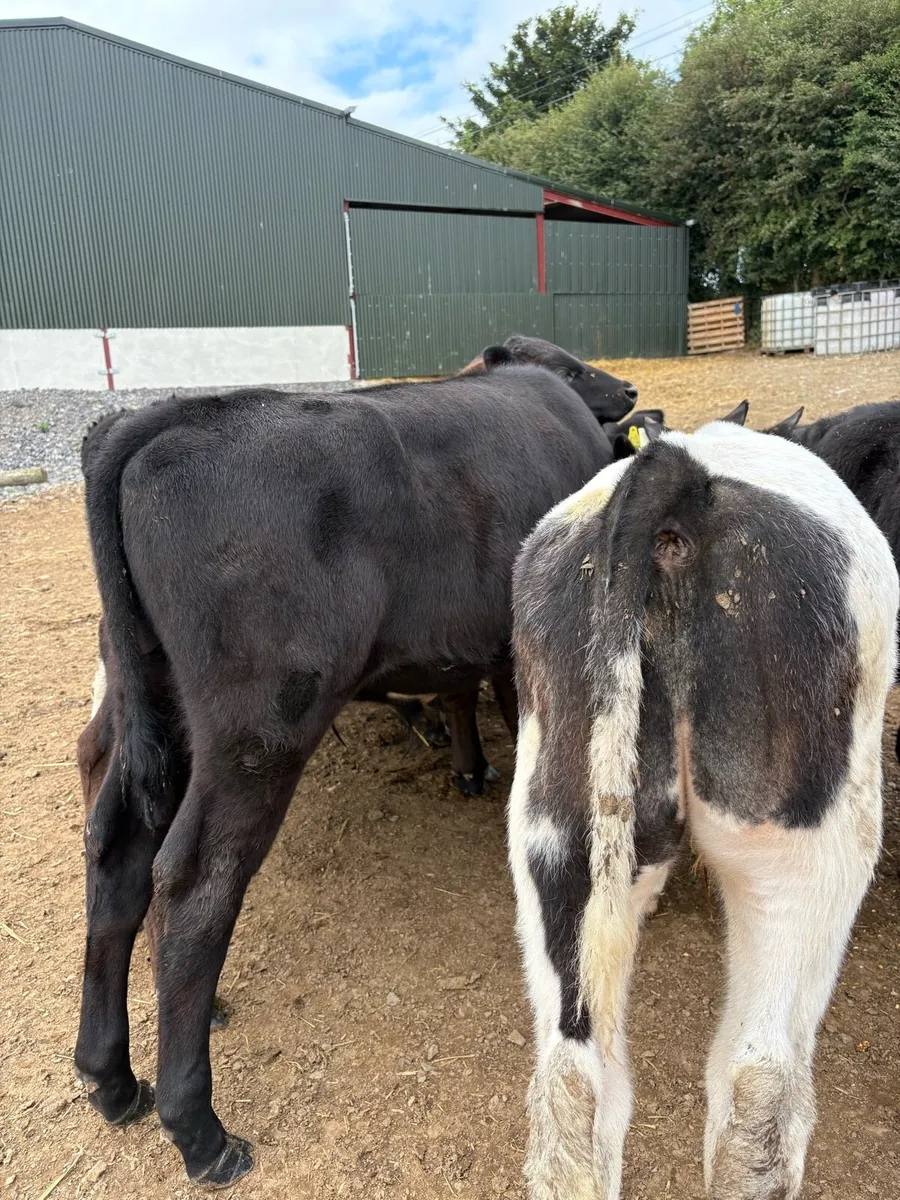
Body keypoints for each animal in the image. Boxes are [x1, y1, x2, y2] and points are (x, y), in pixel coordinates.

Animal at [74, 366, 615, 1186]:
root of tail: (171, 418)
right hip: (258, 730)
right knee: (195, 883)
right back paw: (199, 1130)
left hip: (160, 707)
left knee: (118, 851)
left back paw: (109, 1077)